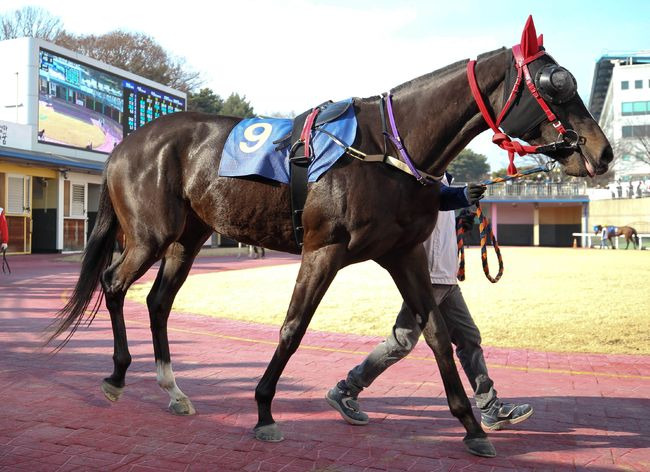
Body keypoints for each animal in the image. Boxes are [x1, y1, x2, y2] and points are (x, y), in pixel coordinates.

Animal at [48, 18, 612, 458]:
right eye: (555, 83)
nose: (602, 151)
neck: (386, 149)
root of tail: (126, 144)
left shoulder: (404, 254)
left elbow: (437, 335)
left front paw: (472, 425)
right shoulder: (323, 250)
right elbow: (293, 328)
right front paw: (264, 411)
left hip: (189, 238)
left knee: (159, 301)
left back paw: (173, 389)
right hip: (149, 235)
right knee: (114, 284)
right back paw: (118, 376)